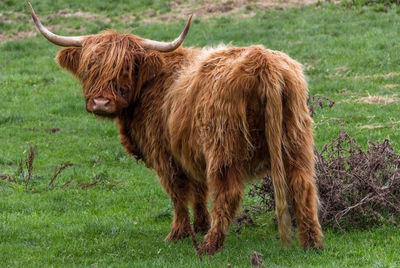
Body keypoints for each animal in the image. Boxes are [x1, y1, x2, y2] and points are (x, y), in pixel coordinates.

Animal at [28, 3, 322, 255]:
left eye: (126, 67)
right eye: (89, 66)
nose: (101, 102)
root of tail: (263, 63)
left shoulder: (164, 154)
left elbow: (178, 195)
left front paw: (177, 234)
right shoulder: (190, 152)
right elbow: (199, 191)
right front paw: (200, 224)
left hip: (223, 148)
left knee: (227, 193)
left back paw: (209, 246)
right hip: (295, 140)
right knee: (302, 186)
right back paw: (312, 243)